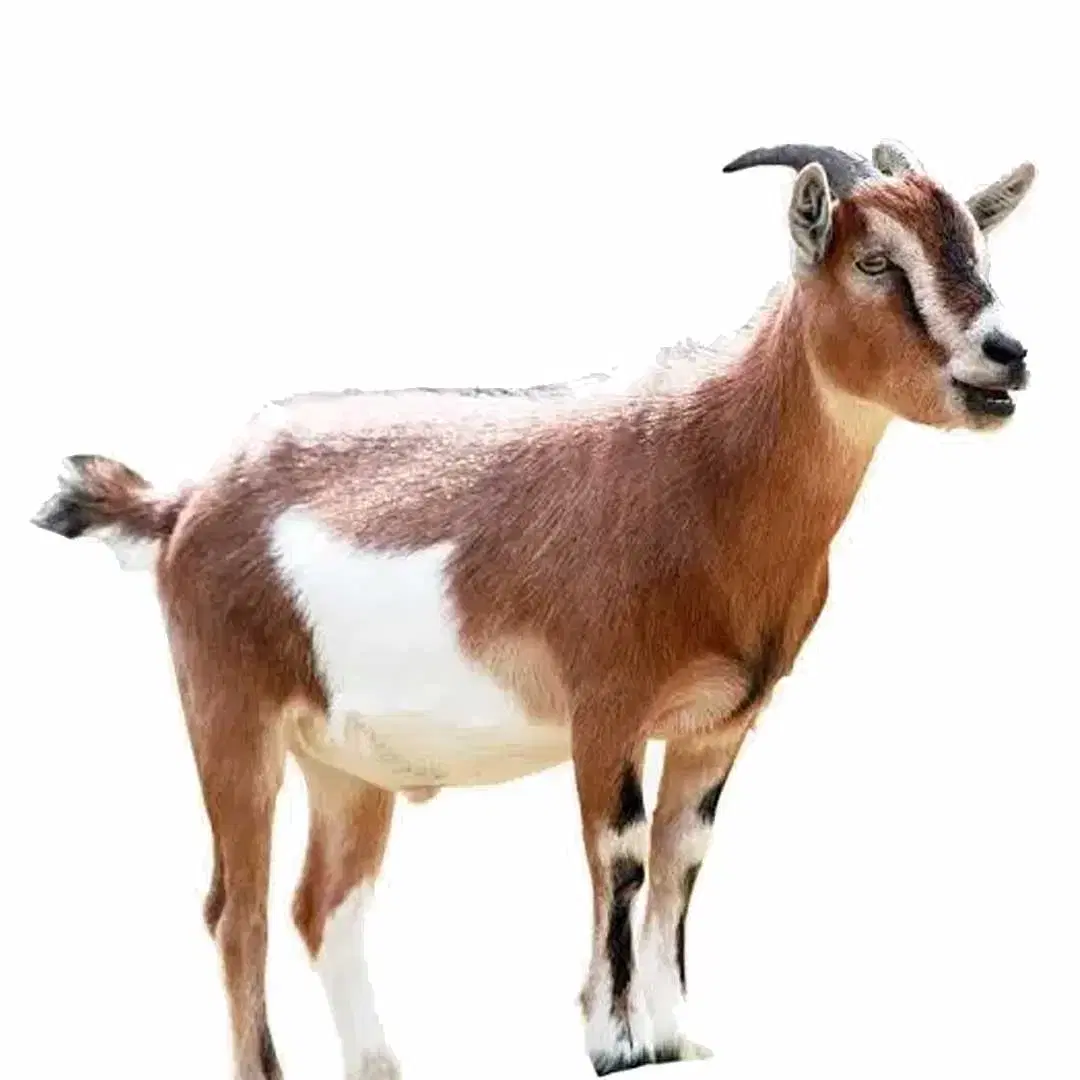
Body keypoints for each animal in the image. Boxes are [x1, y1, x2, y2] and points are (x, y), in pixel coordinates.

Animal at [31, 139, 1035, 1079]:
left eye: (974, 243)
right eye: (872, 259)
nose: (1007, 357)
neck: (707, 469)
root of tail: (185, 503)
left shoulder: (717, 725)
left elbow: (683, 856)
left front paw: (678, 1036)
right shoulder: (606, 709)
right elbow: (623, 853)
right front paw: (616, 1043)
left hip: (345, 767)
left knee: (322, 904)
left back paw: (379, 1064)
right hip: (231, 718)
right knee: (235, 908)